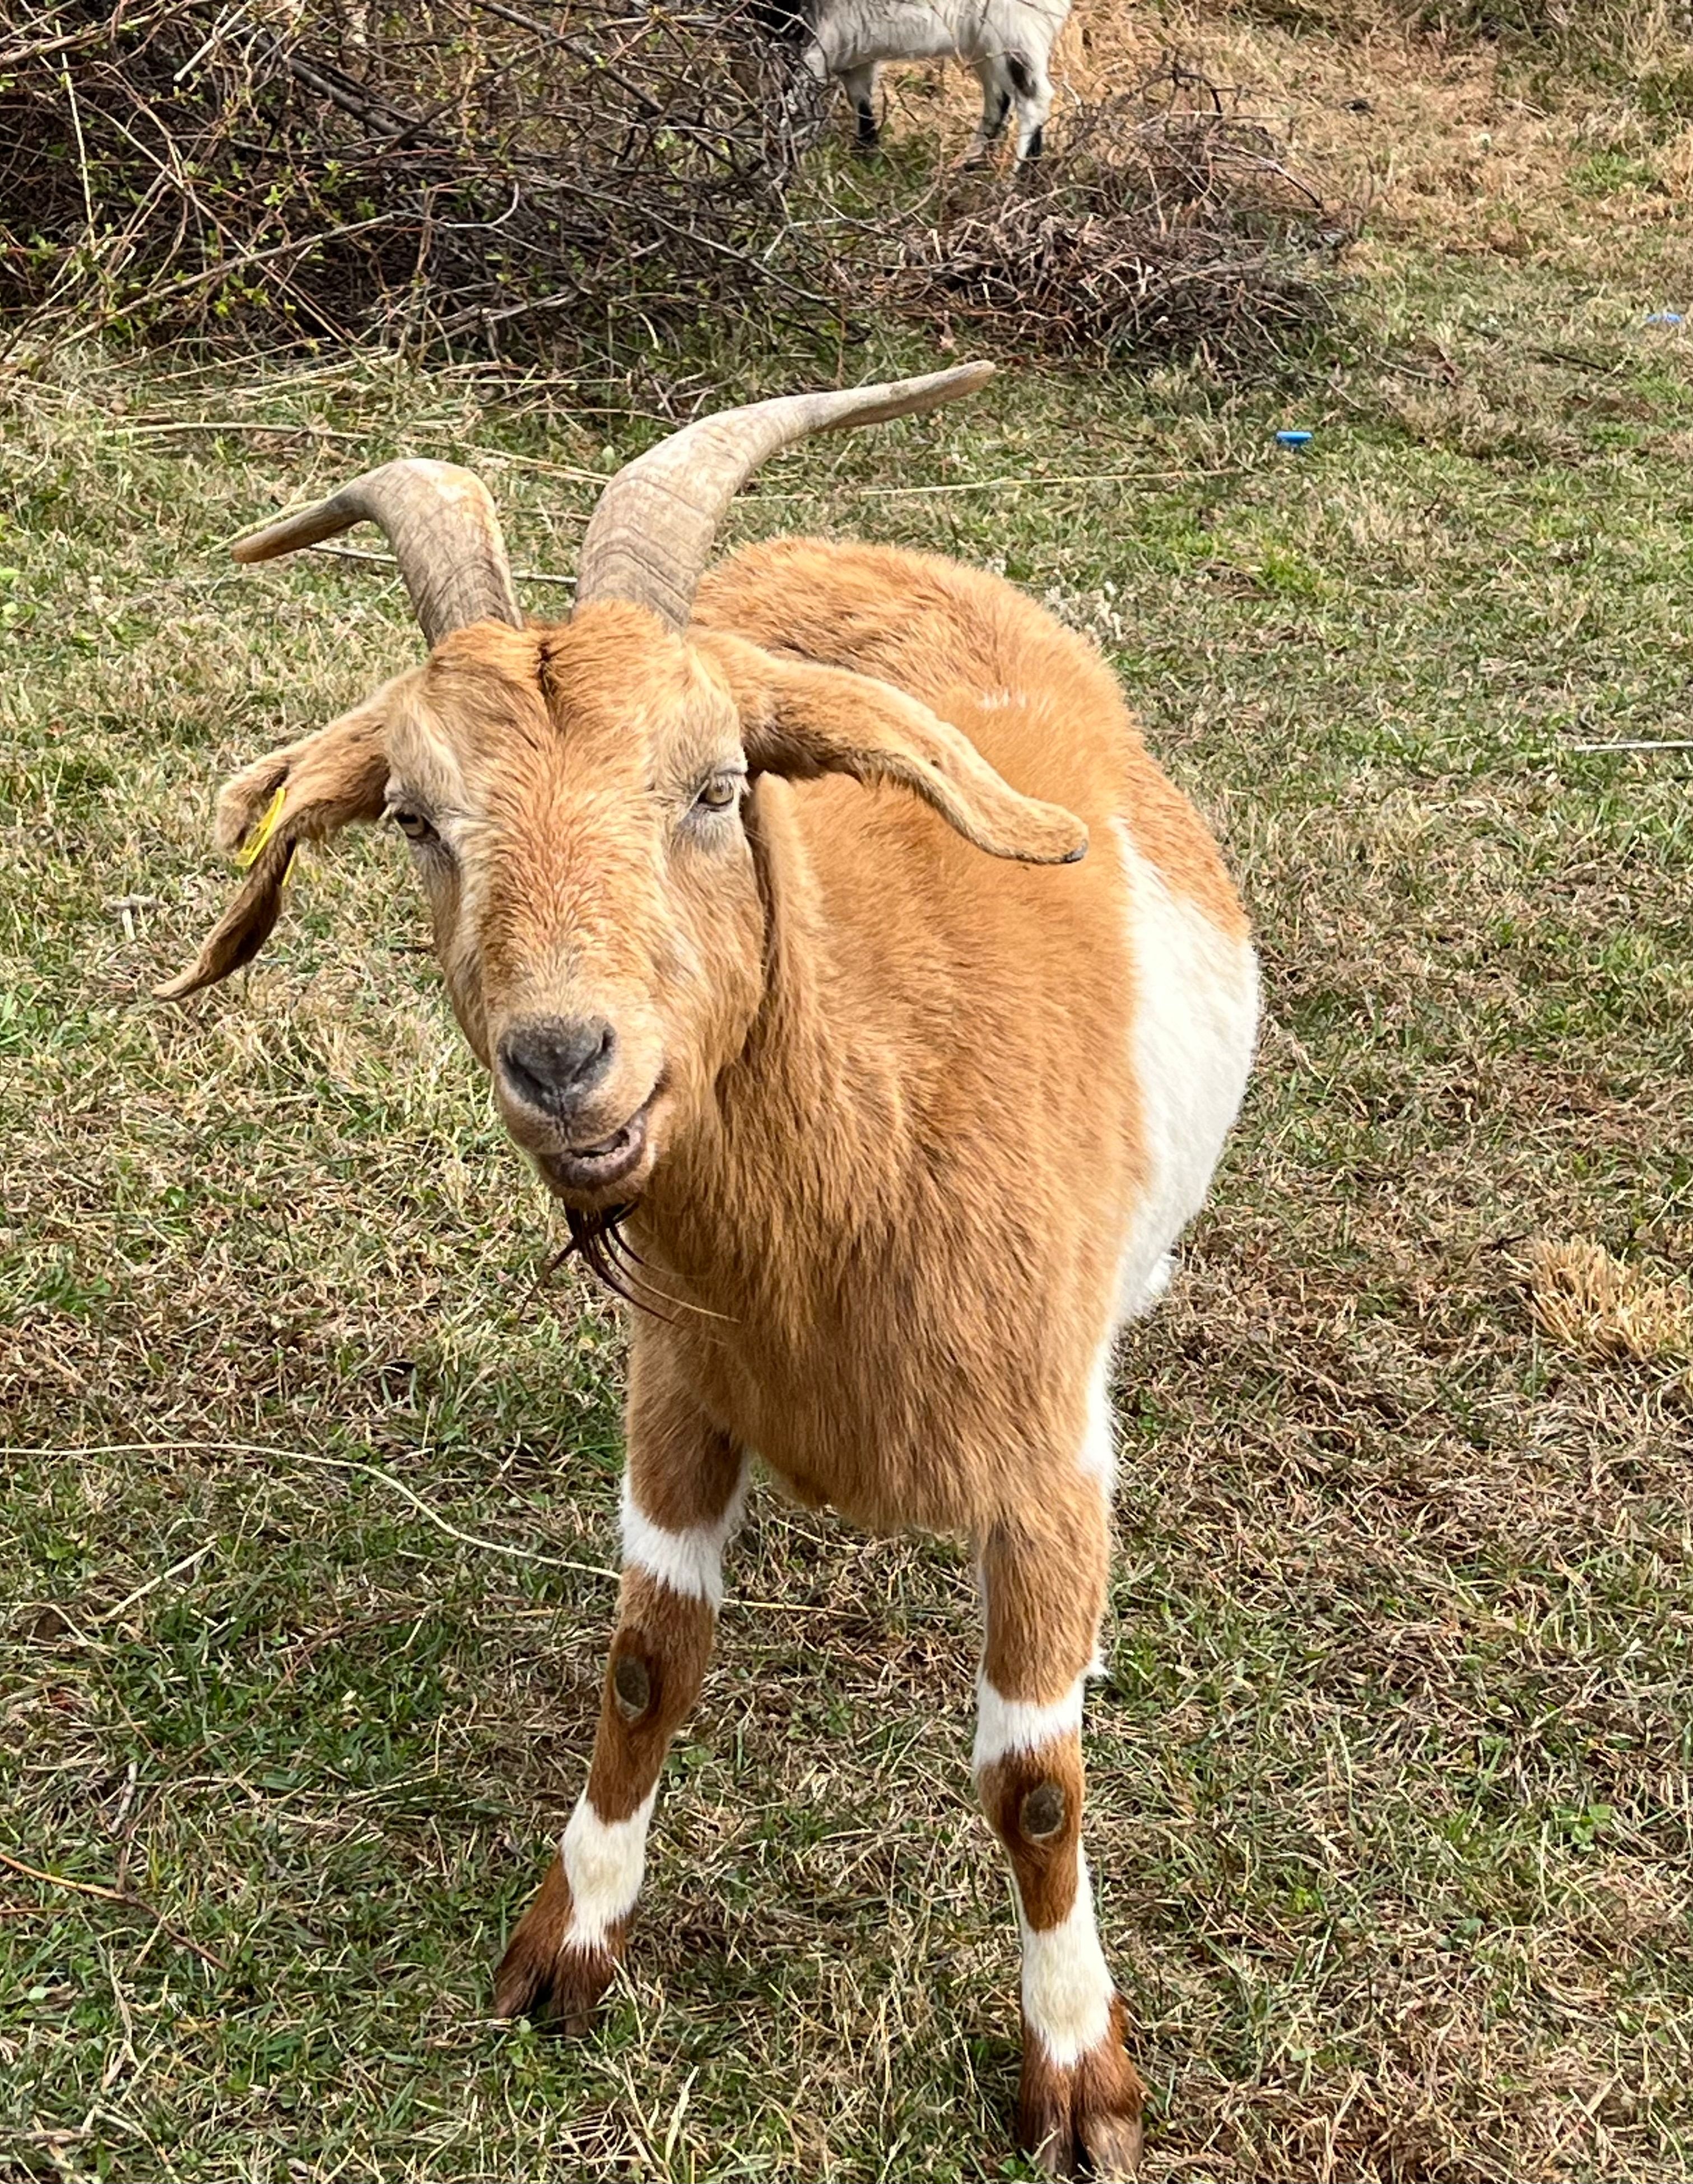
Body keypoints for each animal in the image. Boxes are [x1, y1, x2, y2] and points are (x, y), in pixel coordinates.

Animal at [158, 362, 1257, 2178]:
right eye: (417, 818)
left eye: (716, 784)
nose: (562, 1060)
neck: (873, 1132)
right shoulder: (680, 1389)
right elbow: (645, 1664)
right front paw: (570, 1944)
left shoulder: (1039, 1457)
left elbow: (1033, 1783)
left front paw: (1076, 2072)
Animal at [758, 0, 1068, 160]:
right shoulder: (851, 46)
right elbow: (860, 98)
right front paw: (865, 153)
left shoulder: (806, 33)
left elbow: (789, 98)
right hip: (985, 39)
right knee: (999, 96)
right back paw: (970, 165)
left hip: (1016, 29)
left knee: (1032, 98)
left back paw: (1019, 181)